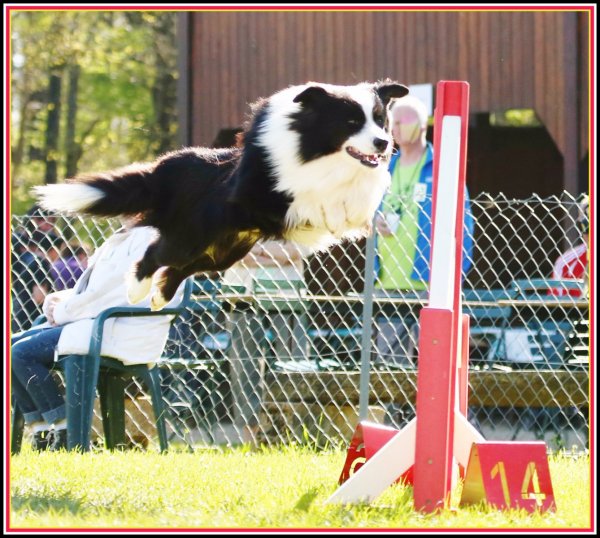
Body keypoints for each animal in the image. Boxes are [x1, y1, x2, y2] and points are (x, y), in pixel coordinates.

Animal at [32, 81, 408, 312]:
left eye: (380, 120)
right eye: (351, 121)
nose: (383, 143)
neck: (316, 148)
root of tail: (169, 167)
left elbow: (359, 197)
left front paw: (355, 215)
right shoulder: (265, 193)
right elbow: (310, 194)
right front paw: (331, 210)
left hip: (224, 252)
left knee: (181, 268)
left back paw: (160, 295)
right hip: (190, 238)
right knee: (155, 254)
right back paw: (138, 289)